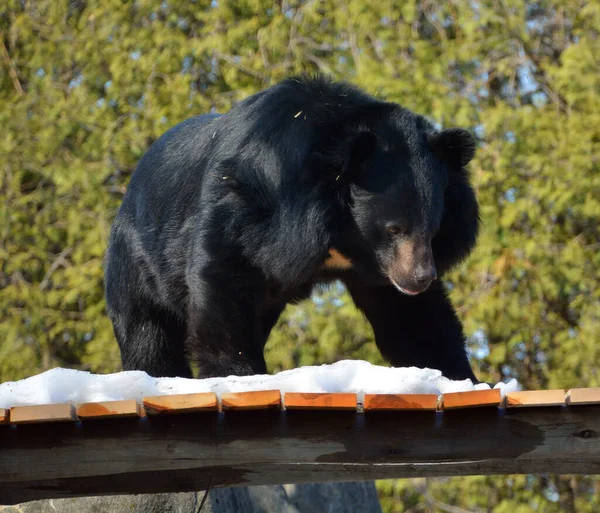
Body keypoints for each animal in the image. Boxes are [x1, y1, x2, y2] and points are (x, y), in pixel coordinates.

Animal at [103, 75, 478, 380]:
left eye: (433, 228)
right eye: (393, 229)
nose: (420, 278)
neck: (341, 232)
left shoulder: (378, 267)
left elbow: (412, 319)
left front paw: (458, 376)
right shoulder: (248, 205)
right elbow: (221, 276)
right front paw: (237, 372)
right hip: (135, 260)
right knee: (148, 332)